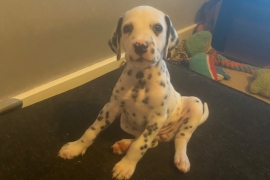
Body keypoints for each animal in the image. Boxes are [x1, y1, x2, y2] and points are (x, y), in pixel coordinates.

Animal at [59, 5, 209, 180]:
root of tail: (166, 134)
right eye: (127, 28)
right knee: (151, 141)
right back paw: (124, 144)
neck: (141, 78)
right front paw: (75, 147)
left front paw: (126, 166)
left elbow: (140, 145)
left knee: (181, 138)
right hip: (125, 122)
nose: (141, 45)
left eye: (158, 28)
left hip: (195, 104)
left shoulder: (156, 119)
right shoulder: (111, 107)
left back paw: (181, 159)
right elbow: (92, 130)